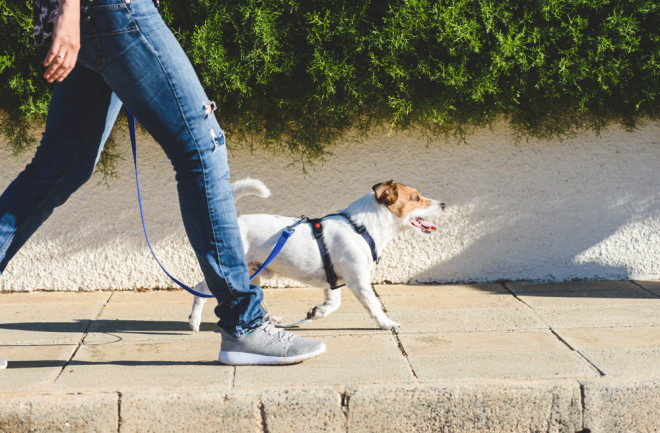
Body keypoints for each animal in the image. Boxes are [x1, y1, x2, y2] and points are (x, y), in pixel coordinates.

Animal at [187, 177, 444, 330]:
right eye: (416, 198)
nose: (443, 204)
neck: (362, 227)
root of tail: (234, 223)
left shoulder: (334, 281)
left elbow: (333, 304)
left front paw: (317, 312)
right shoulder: (358, 281)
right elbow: (374, 305)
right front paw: (386, 323)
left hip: (253, 272)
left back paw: (271, 320)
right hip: (231, 271)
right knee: (200, 289)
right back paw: (194, 322)